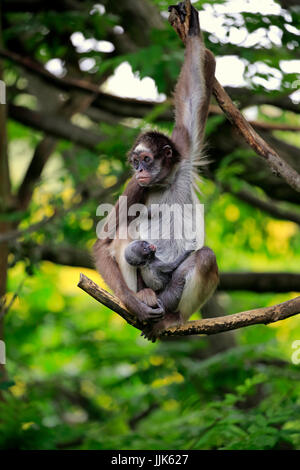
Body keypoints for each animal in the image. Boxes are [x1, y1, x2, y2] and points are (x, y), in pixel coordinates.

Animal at [93, 2, 218, 342]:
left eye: (146, 159)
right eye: (135, 163)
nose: (140, 171)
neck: (166, 181)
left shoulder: (184, 154)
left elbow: (192, 96)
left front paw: (192, 30)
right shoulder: (135, 187)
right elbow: (104, 244)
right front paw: (134, 304)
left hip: (173, 294)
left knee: (205, 257)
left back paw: (173, 318)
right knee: (125, 236)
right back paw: (144, 298)